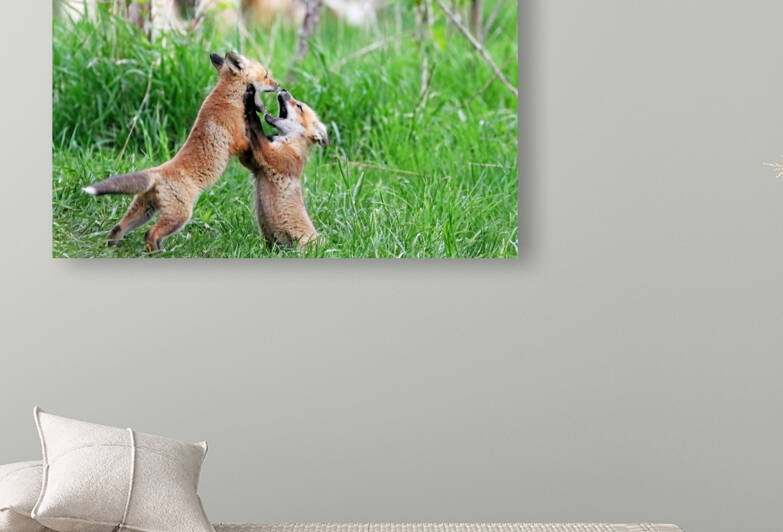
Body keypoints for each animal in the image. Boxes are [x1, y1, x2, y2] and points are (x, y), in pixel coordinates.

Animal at [83, 52, 279, 251]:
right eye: (266, 75)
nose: (278, 85)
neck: (228, 97)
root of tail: (157, 172)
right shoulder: (238, 141)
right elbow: (250, 144)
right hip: (179, 215)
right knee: (150, 233)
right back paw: (159, 253)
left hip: (144, 211)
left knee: (118, 228)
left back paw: (113, 246)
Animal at [239, 85, 328, 249]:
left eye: (299, 106)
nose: (284, 90)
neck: (291, 143)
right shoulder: (255, 165)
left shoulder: (275, 157)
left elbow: (257, 128)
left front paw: (249, 105)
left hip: (301, 246)